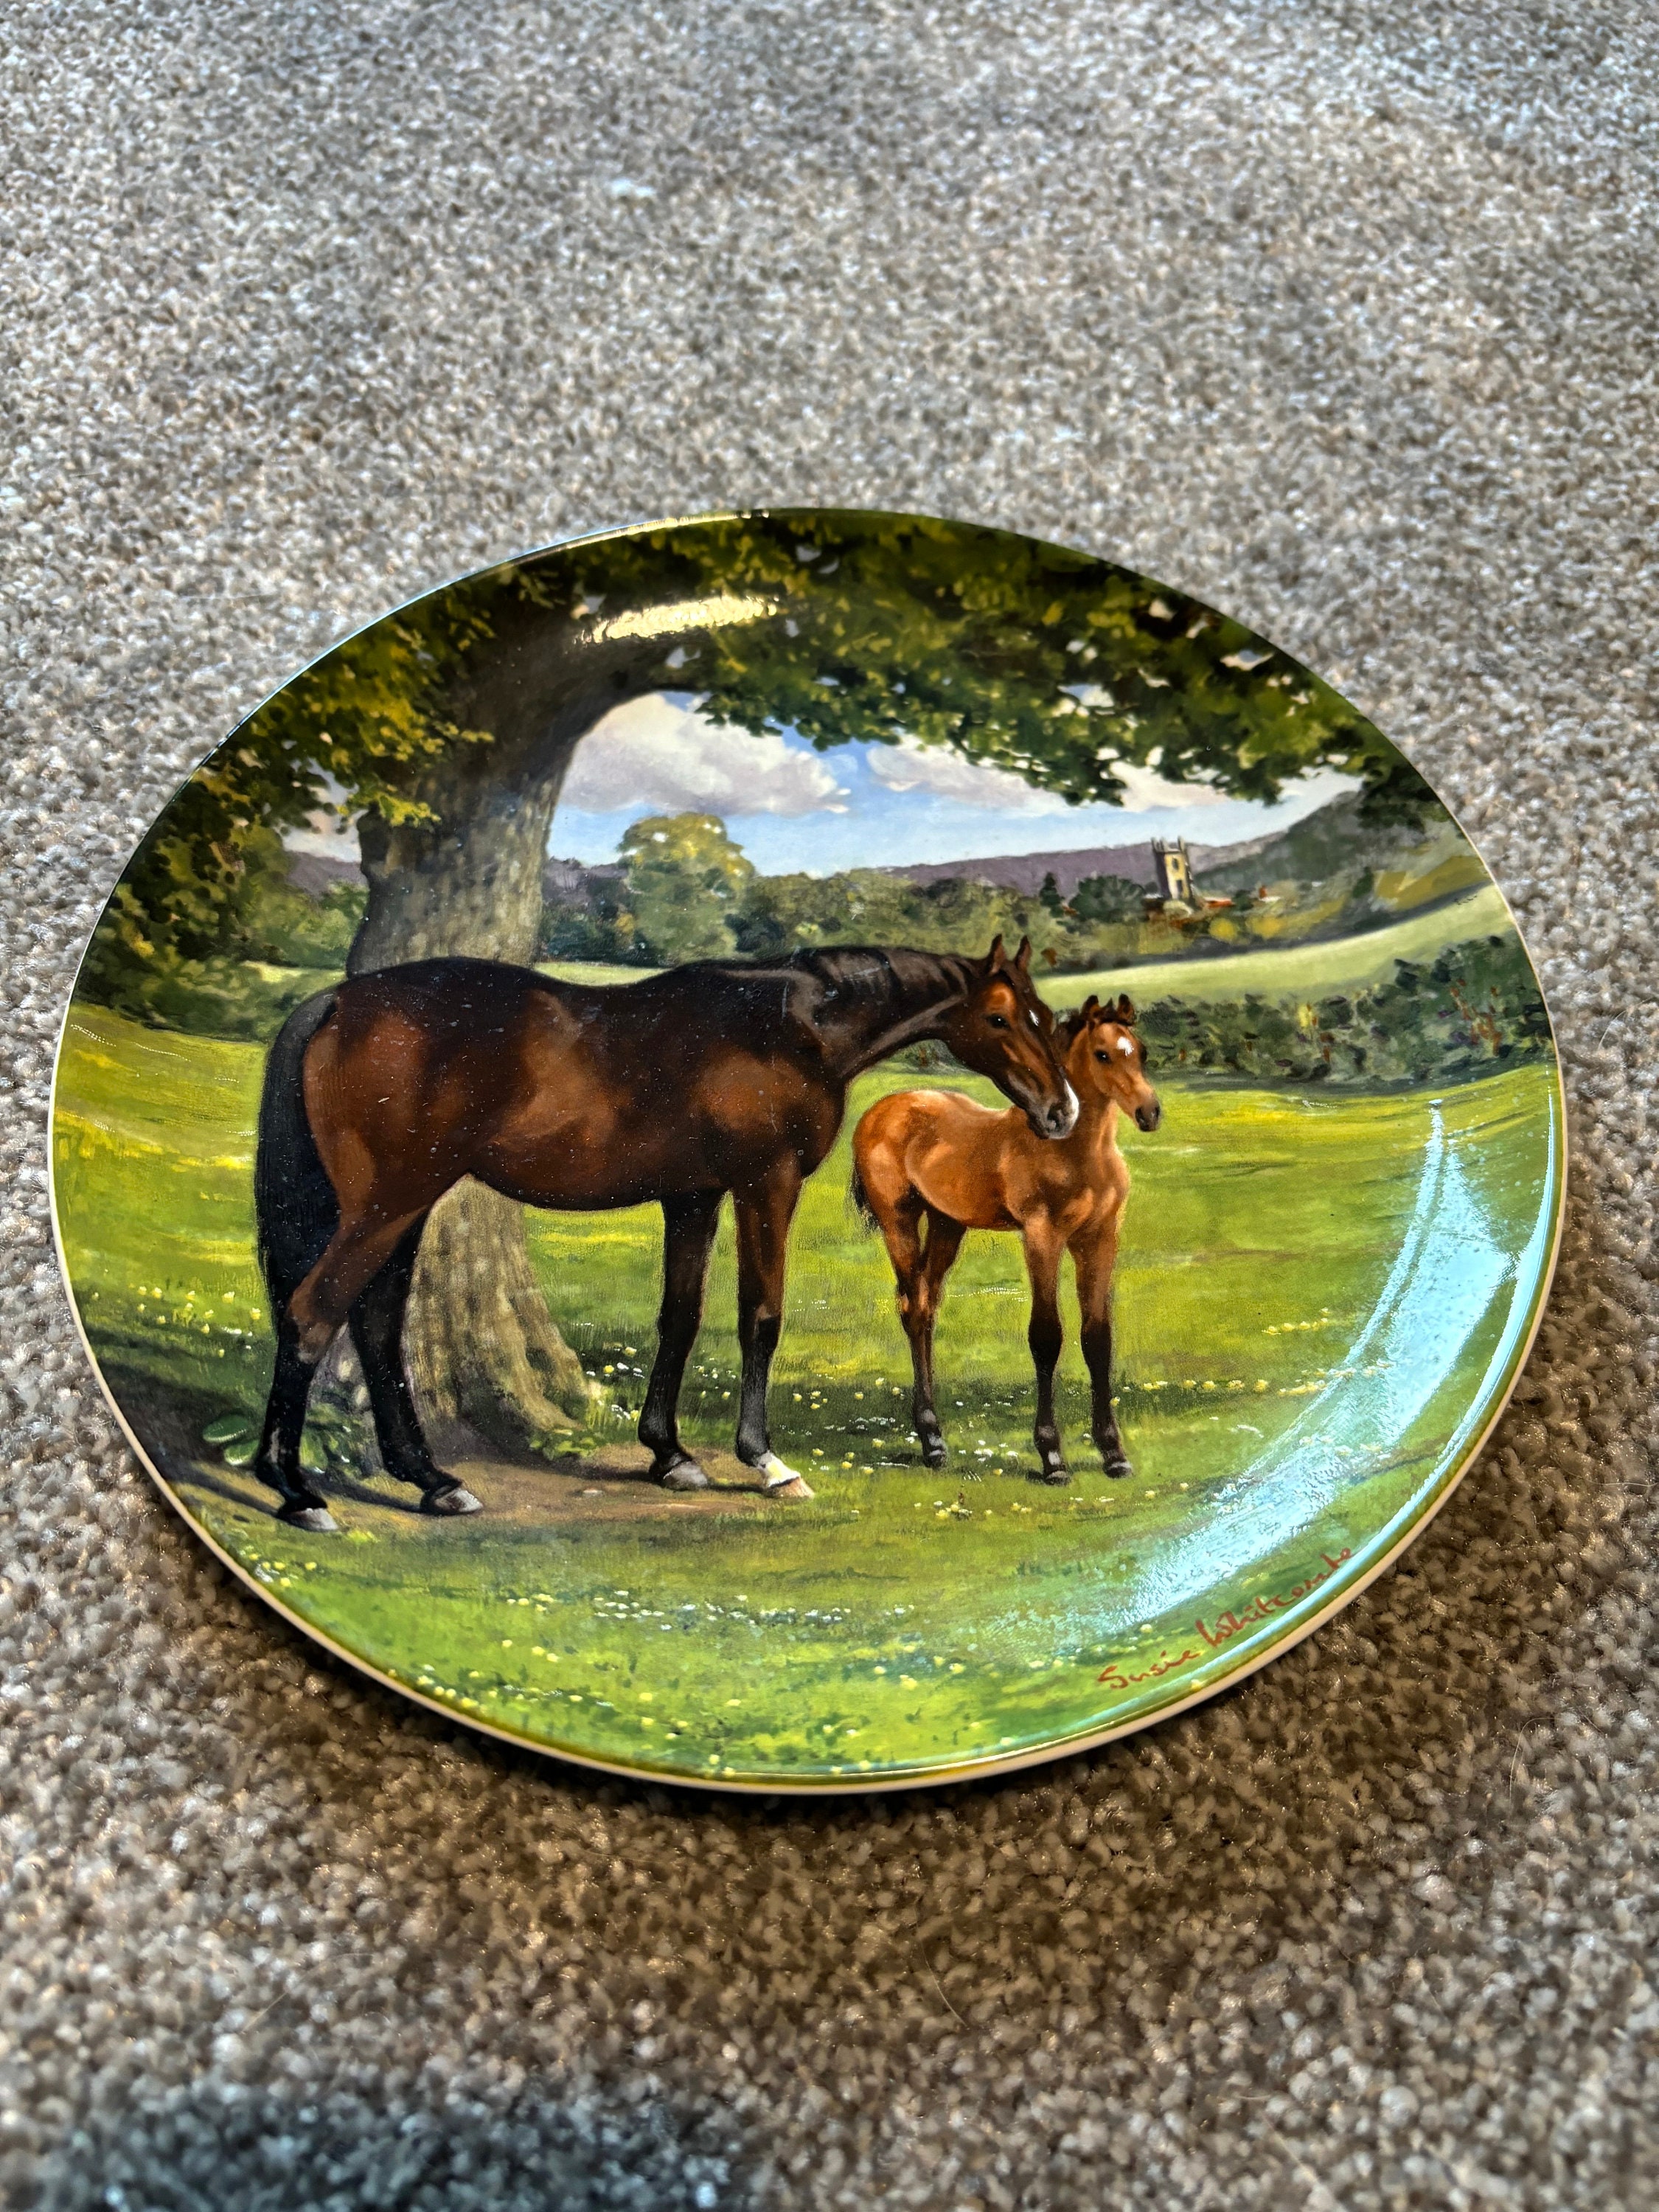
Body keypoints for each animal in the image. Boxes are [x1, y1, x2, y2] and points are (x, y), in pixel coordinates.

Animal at [251, 937, 1077, 1531]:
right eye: (1002, 1019)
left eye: (1048, 1018)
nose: (1060, 1111)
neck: (788, 1030)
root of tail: (337, 1000)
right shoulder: (765, 1186)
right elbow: (760, 1317)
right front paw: (765, 1461)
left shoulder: (692, 1198)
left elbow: (680, 1317)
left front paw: (670, 1454)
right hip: (388, 1205)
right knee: (313, 1314)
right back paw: (295, 1490)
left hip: (407, 1207)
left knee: (376, 1323)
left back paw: (431, 1481)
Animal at [850, 992, 1160, 1485]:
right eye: (1102, 1054)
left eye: (1142, 1052)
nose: (1150, 1113)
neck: (1073, 1151)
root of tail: (883, 1108)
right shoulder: (1041, 1237)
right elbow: (1046, 1337)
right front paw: (1052, 1458)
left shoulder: (1099, 1240)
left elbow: (1097, 1339)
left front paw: (1114, 1453)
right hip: (898, 1221)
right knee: (912, 1309)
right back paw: (931, 1442)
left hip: (946, 1224)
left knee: (926, 1305)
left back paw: (936, 1439)